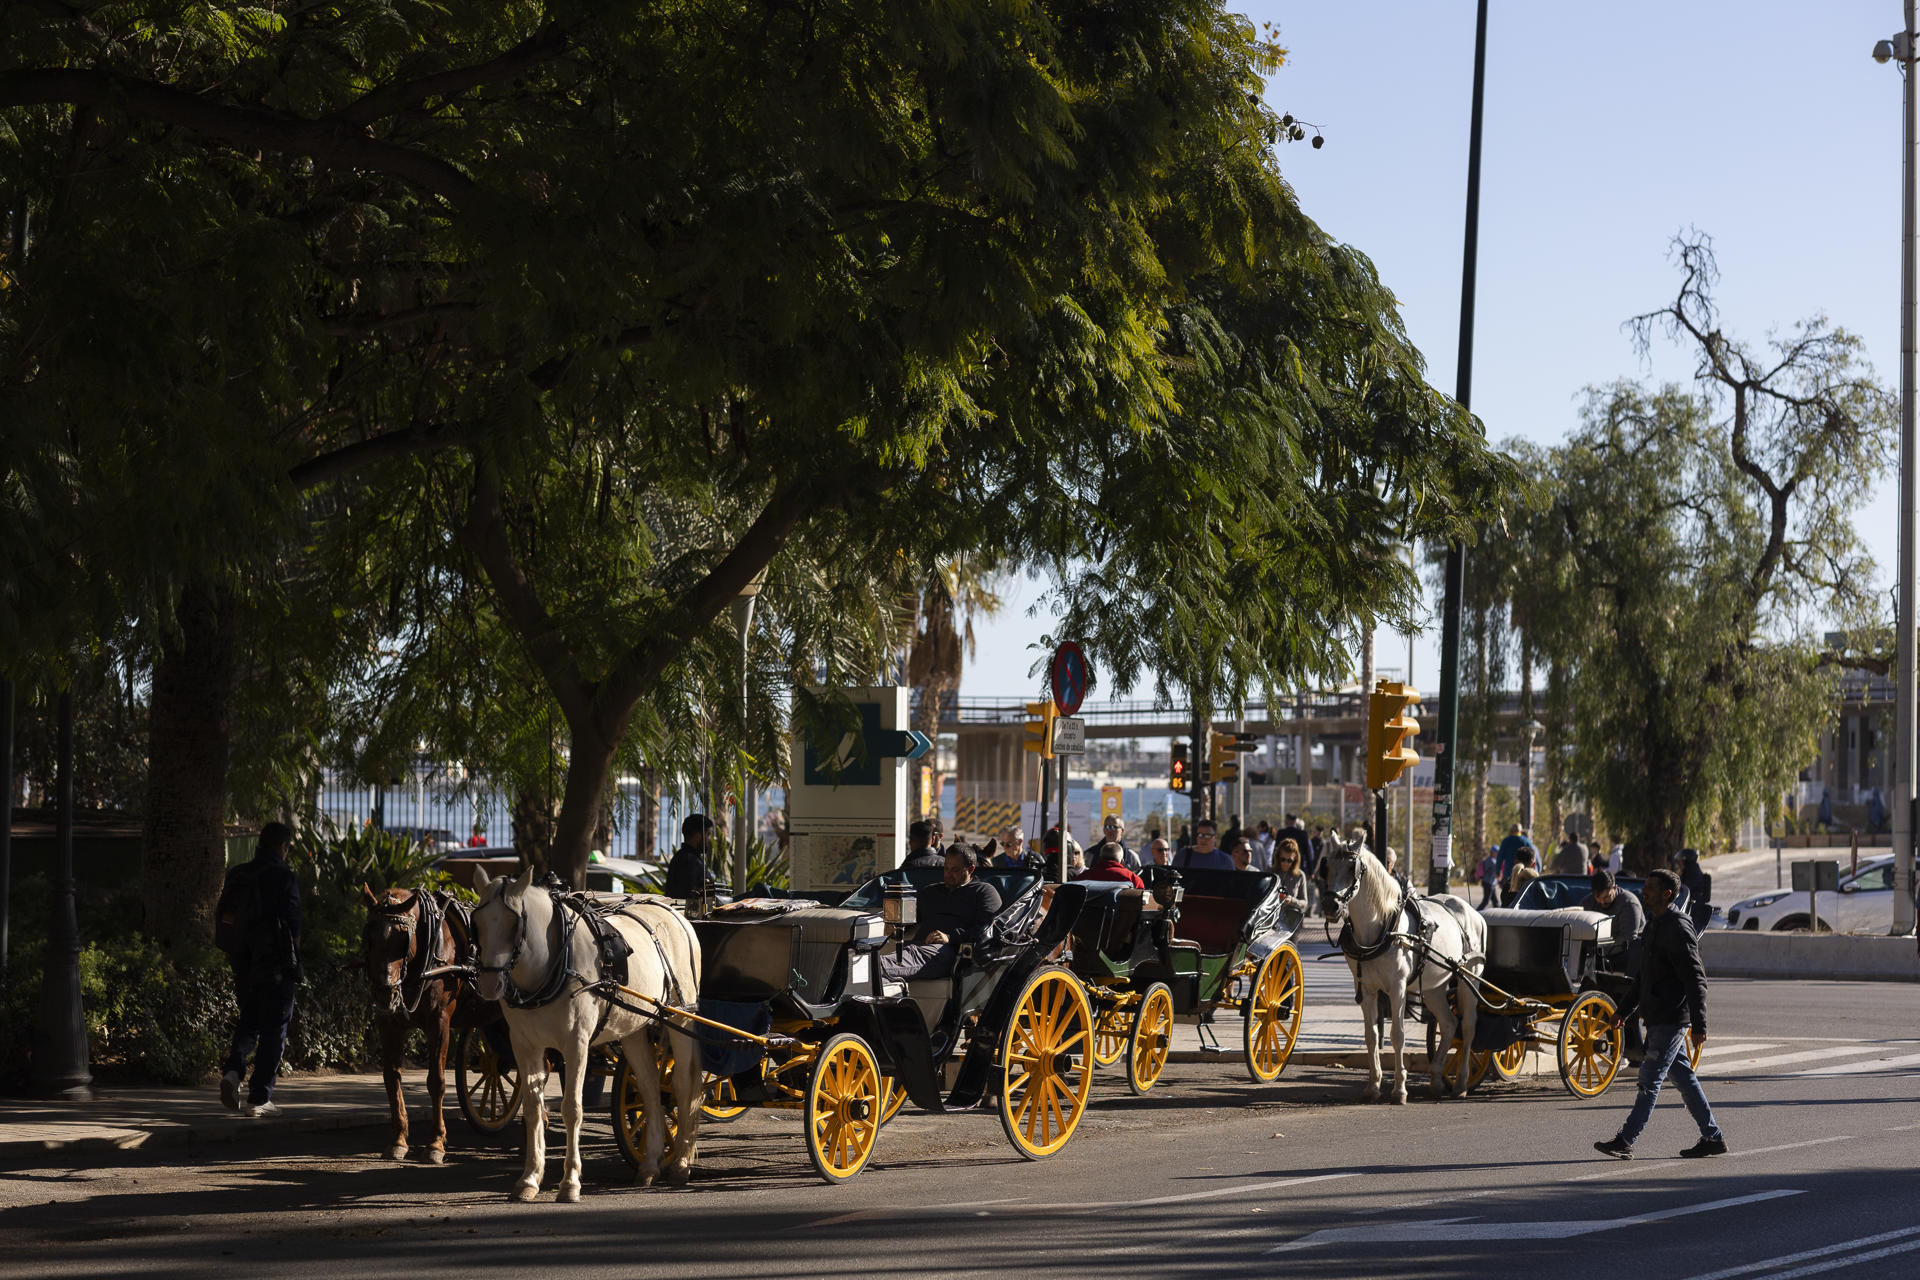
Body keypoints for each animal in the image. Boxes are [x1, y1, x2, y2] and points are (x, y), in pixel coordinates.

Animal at [360, 886, 466, 1166]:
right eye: (369, 936)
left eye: (402, 939)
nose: (384, 993)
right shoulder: (389, 1024)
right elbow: (391, 1077)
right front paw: (398, 1140)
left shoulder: (440, 1021)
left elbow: (436, 1081)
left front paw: (436, 1143)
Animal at [472, 867, 706, 1205]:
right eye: (476, 922)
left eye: (515, 923)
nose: (490, 985)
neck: (553, 961)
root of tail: (678, 915)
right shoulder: (525, 1045)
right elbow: (533, 1109)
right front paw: (530, 1179)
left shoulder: (576, 1044)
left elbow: (572, 1109)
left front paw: (570, 1183)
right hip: (634, 1027)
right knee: (650, 1088)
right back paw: (649, 1165)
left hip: (680, 1017)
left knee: (683, 1086)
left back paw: (681, 1165)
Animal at [1328, 840, 1489, 1105]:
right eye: (1326, 866)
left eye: (1353, 868)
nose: (1329, 905)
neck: (1382, 928)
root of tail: (1473, 911)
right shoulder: (1367, 989)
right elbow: (1371, 1036)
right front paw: (1373, 1086)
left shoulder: (1398, 988)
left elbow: (1397, 1035)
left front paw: (1399, 1089)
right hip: (1434, 987)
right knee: (1449, 1023)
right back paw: (1436, 1078)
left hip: (1469, 977)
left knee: (1467, 1027)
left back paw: (1461, 1083)